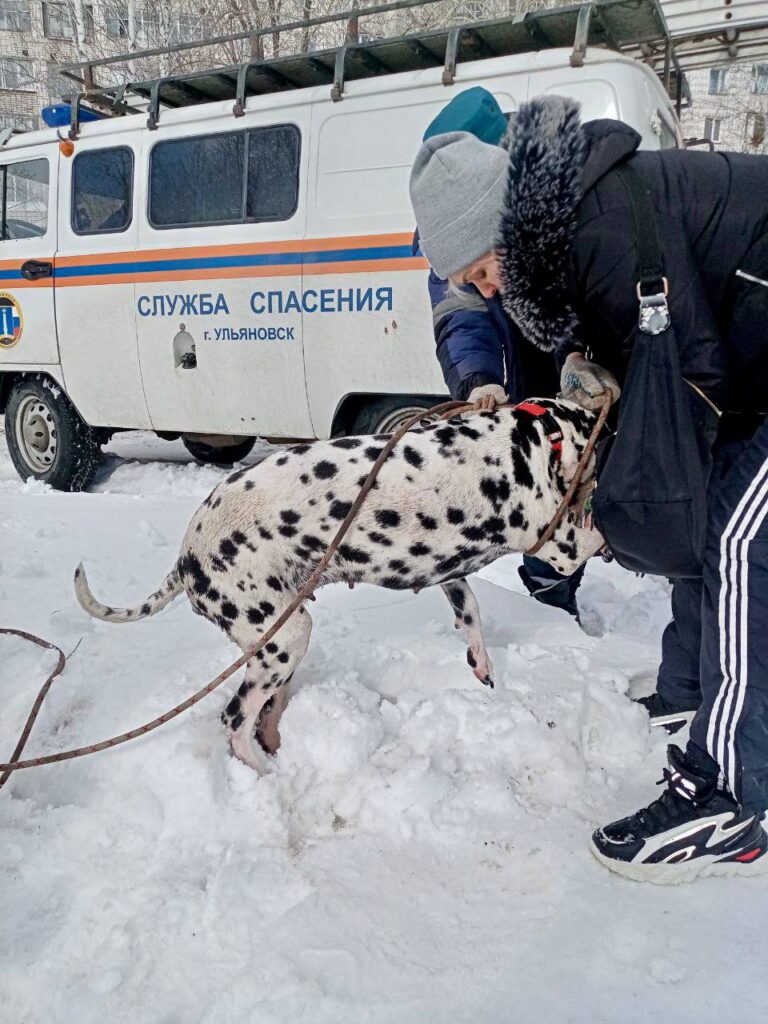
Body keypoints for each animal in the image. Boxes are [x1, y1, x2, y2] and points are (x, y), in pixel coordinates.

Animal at [75, 399, 606, 770]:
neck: (533, 438)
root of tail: (185, 559)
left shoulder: (449, 574)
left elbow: (470, 611)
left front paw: (481, 662)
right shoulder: (556, 545)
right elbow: (593, 536)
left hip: (279, 646)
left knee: (265, 713)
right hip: (285, 640)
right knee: (236, 722)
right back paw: (264, 774)